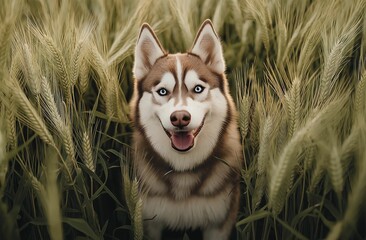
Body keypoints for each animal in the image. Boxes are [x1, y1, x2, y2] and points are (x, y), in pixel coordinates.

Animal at [130, 19, 242, 239]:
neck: (184, 172)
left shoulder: (219, 223)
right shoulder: (148, 220)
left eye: (198, 88)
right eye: (162, 91)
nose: (180, 118)